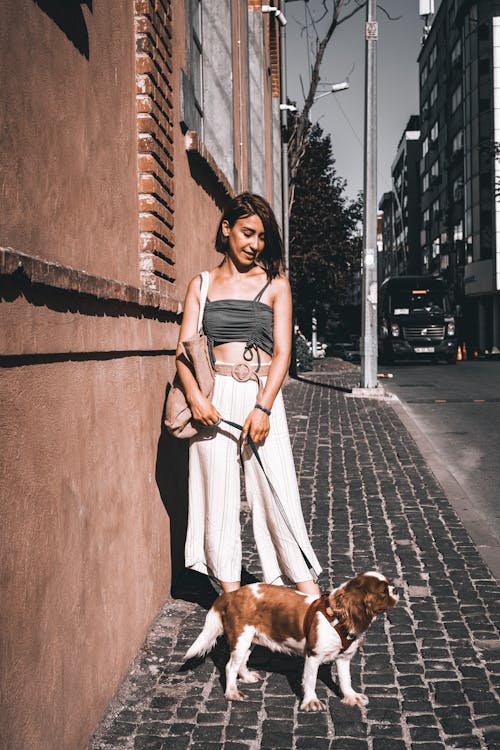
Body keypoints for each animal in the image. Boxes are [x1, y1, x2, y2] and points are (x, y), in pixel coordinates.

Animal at [184, 576, 398, 712]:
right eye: (383, 591)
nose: (395, 589)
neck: (337, 617)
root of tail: (233, 593)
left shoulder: (343, 657)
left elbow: (346, 680)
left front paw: (351, 697)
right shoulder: (313, 655)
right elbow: (310, 680)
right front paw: (311, 702)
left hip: (250, 638)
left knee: (242, 661)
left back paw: (246, 677)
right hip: (242, 636)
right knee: (230, 666)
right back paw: (232, 693)